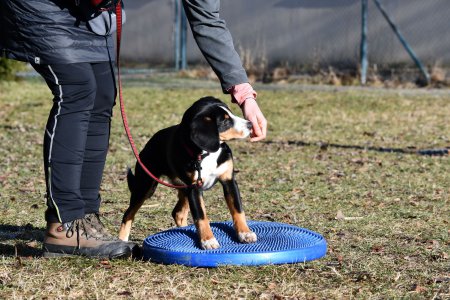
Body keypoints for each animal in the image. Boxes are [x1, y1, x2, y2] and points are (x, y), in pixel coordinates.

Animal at [119, 97, 258, 250]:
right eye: (225, 121)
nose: (250, 124)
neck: (206, 154)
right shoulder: (194, 188)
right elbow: (201, 216)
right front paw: (208, 240)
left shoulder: (229, 181)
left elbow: (238, 209)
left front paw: (245, 233)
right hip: (145, 186)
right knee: (128, 214)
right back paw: (122, 240)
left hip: (182, 189)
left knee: (178, 213)